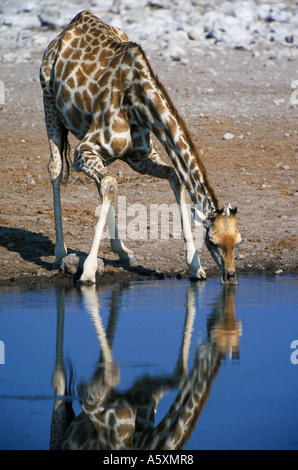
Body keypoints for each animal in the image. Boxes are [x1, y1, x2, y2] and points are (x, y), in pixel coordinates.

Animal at [39, 9, 241, 284]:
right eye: (212, 241)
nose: (230, 276)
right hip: (48, 99)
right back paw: (60, 253)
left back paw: (123, 252)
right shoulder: (84, 150)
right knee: (57, 168)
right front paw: (88, 271)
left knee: (100, 183)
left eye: (237, 242)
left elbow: (175, 176)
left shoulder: (140, 157)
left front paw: (195, 266)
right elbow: (110, 184)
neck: (138, 102)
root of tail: (68, 28)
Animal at [49, 280, 240, 450]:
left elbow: (179, 376)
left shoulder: (145, 388)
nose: (212, 317)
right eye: (222, 329)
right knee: (59, 381)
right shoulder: (89, 402)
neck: (144, 441)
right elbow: (107, 378)